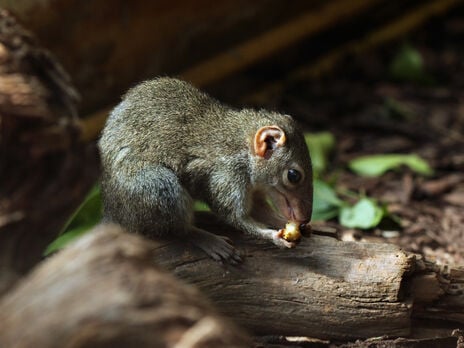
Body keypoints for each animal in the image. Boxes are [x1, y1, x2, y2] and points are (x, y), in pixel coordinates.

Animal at [99, 76, 314, 260]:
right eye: (293, 175)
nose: (305, 218)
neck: (244, 151)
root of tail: (114, 212)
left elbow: (259, 210)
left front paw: (287, 224)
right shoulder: (225, 178)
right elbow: (235, 217)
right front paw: (274, 237)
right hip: (157, 187)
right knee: (179, 230)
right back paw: (207, 239)